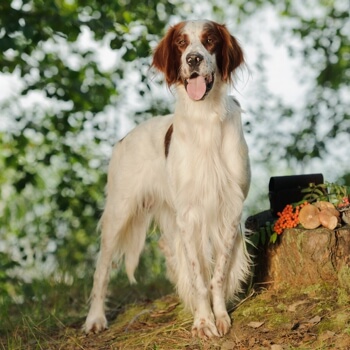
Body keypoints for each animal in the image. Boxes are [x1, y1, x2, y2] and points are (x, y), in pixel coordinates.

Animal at [85, 18, 252, 340]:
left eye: (210, 39)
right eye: (181, 43)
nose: (193, 59)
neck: (205, 119)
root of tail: (123, 138)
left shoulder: (230, 208)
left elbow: (218, 274)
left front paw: (219, 316)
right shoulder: (188, 214)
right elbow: (199, 277)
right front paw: (203, 321)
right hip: (119, 213)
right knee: (101, 270)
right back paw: (95, 319)